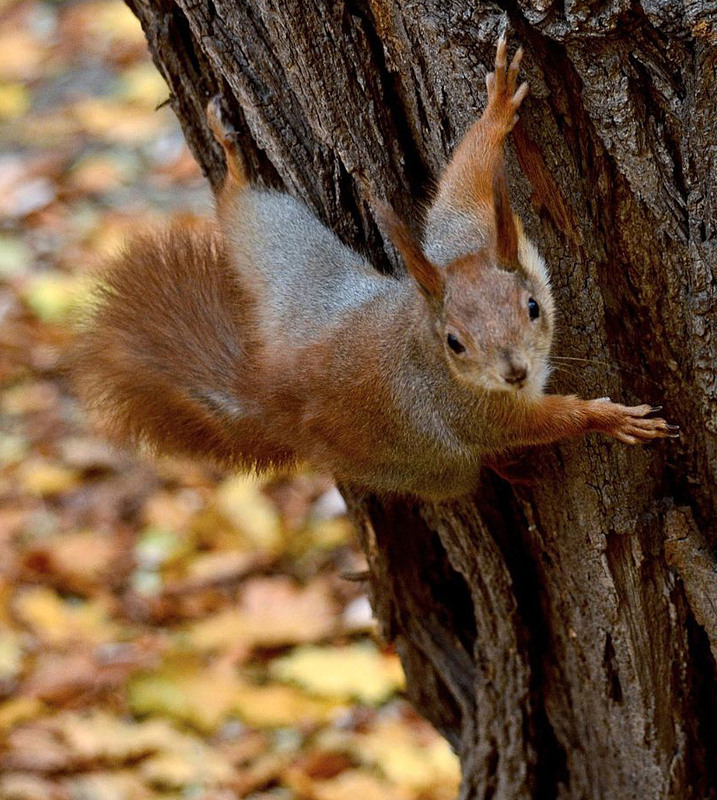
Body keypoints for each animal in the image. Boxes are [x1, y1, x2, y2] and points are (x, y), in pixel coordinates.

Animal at [72, 39, 676, 500]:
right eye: (455, 344)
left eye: (532, 307)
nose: (514, 373)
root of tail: (278, 397)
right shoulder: (471, 411)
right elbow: (539, 423)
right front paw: (609, 419)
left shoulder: (464, 231)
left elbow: (465, 180)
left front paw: (496, 109)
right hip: (424, 464)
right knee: (464, 473)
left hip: (295, 268)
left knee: (247, 219)